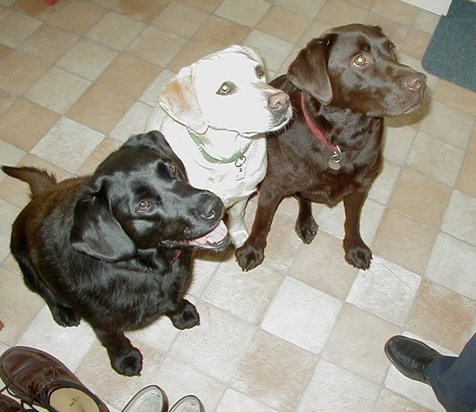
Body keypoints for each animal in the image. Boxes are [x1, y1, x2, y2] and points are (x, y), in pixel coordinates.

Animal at [3, 131, 231, 376]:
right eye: (144, 205)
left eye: (171, 168)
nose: (215, 205)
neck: (144, 267)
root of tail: (39, 195)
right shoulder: (101, 321)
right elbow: (113, 339)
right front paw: (125, 359)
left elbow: (174, 299)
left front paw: (181, 313)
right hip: (27, 263)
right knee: (44, 290)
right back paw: (63, 311)